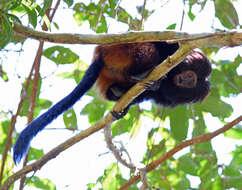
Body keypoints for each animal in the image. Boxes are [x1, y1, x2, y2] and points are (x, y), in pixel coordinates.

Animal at [12, 41, 211, 163]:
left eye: (193, 81)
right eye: (191, 75)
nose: (188, 80)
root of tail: (100, 55)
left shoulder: (166, 95)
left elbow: (150, 94)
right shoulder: (176, 47)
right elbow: (164, 46)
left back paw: (119, 92)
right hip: (123, 51)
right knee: (150, 51)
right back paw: (141, 73)